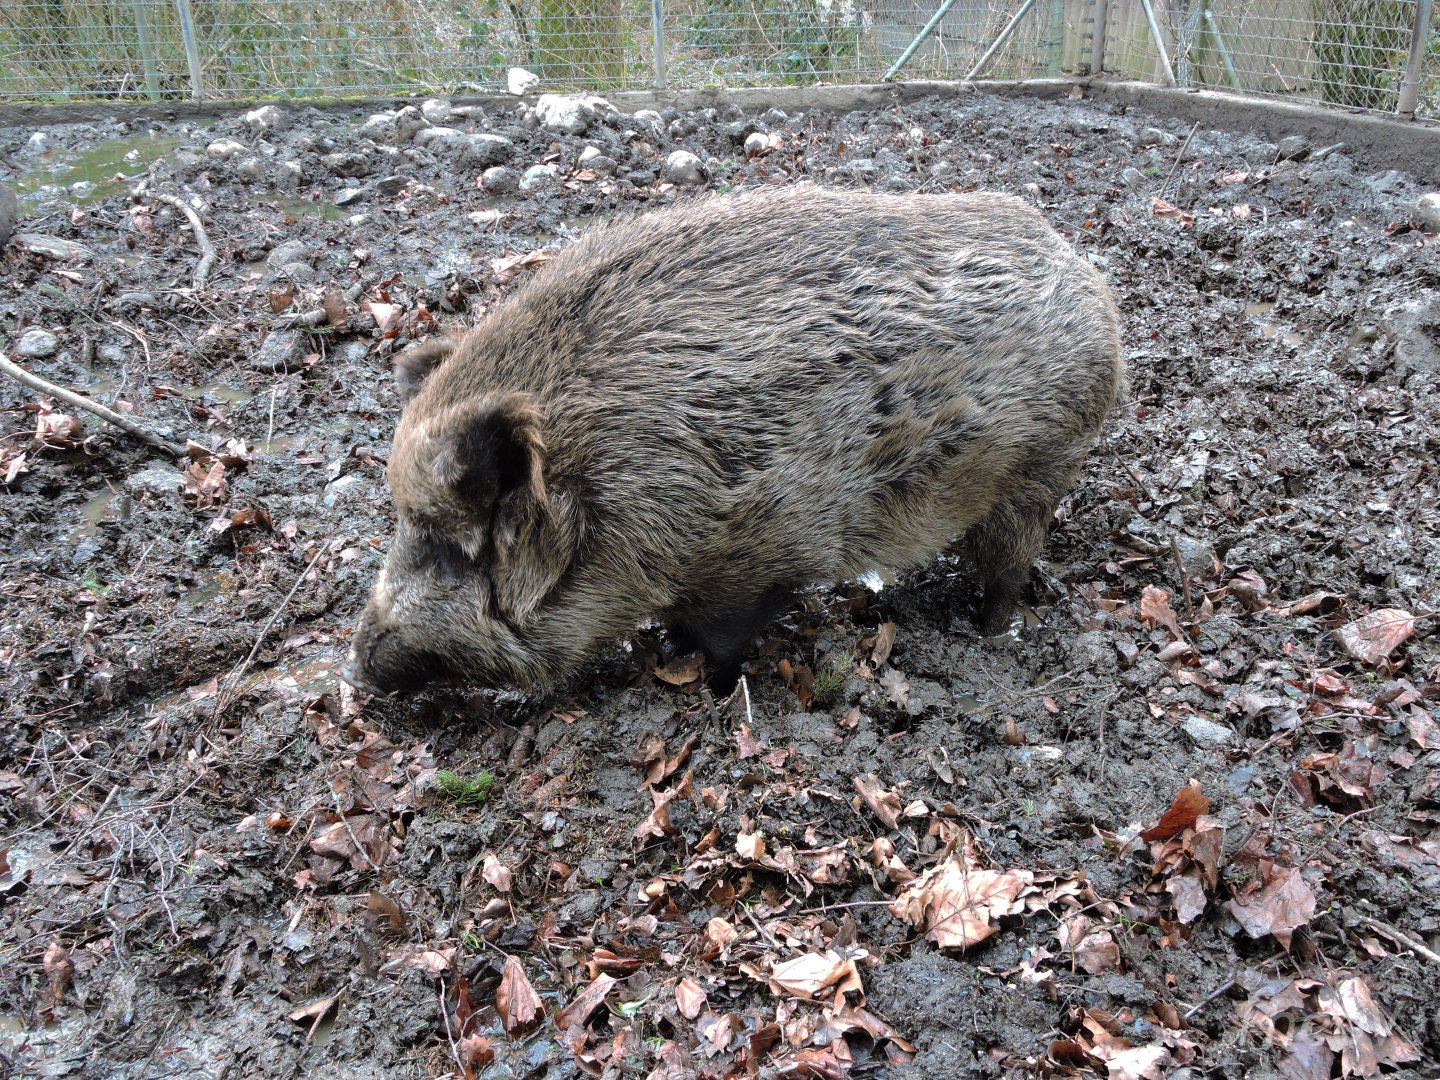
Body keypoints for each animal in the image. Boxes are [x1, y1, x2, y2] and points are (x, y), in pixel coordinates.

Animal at [340, 185, 1123, 696]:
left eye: (449, 548)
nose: (361, 667)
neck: (610, 488)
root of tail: (1088, 276)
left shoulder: (753, 558)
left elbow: (725, 638)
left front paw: (703, 682)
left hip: (1039, 467)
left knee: (1009, 565)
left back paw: (992, 632)